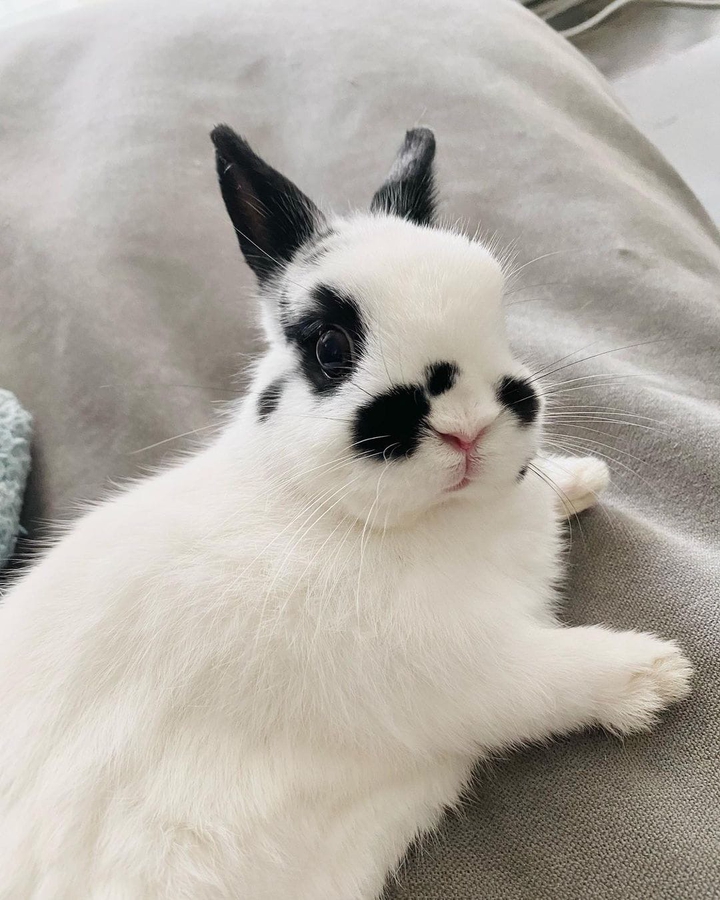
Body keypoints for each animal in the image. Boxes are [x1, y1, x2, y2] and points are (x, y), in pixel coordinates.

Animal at [0, 126, 692, 900]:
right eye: (331, 347)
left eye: (498, 309)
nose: (468, 429)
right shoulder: (465, 668)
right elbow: (550, 678)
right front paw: (657, 674)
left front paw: (583, 478)